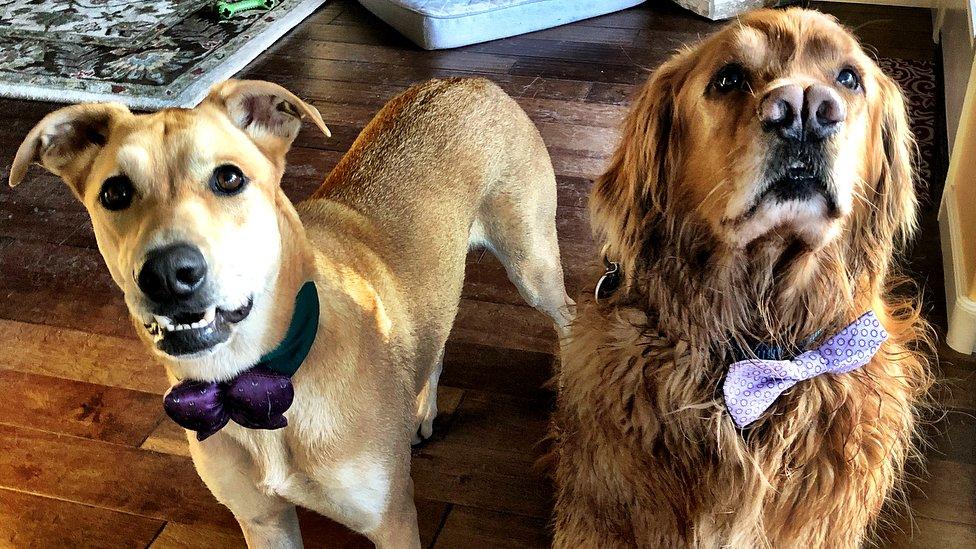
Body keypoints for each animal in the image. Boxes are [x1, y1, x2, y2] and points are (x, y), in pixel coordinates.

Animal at [9, 78, 572, 548]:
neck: (256, 380)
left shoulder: (392, 521)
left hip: (532, 264)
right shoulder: (263, 522)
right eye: (115, 191)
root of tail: (468, 80)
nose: (168, 274)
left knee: (567, 317)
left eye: (229, 178)